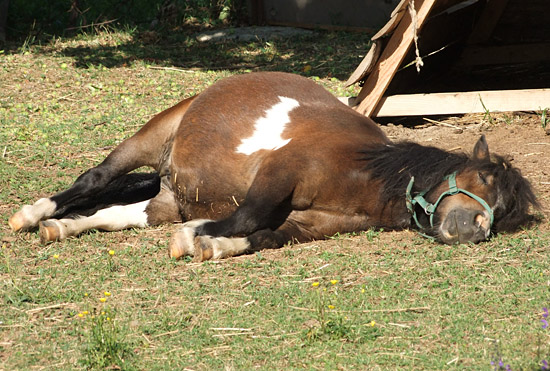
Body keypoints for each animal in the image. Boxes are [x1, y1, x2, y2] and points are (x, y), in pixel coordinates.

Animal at [8, 70, 540, 262]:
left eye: (505, 214)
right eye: (484, 178)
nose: (475, 229)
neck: (366, 174)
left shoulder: (311, 225)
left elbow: (263, 235)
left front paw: (213, 244)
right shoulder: (281, 172)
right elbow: (248, 215)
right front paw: (197, 236)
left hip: (169, 198)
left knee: (117, 214)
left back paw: (61, 228)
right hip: (150, 138)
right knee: (93, 180)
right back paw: (35, 214)